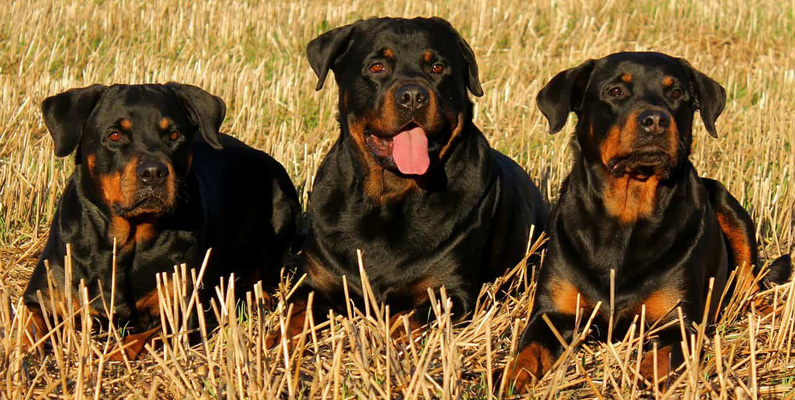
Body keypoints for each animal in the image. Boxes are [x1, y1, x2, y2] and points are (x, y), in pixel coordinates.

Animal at [24, 82, 300, 360]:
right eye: (115, 135)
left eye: (174, 135)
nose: (153, 172)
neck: (126, 241)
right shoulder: (43, 295)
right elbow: (28, 325)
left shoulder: (180, 312)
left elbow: (136, 340)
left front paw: (111, 356)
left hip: (281, 205)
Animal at [270, 17, 552, 346]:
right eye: (377, 66)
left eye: (438, 68)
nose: (413, 96)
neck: (390, 197)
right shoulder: (316, 278)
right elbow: (294, 313)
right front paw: (275, 343)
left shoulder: (449, 292)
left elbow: (404, 319)